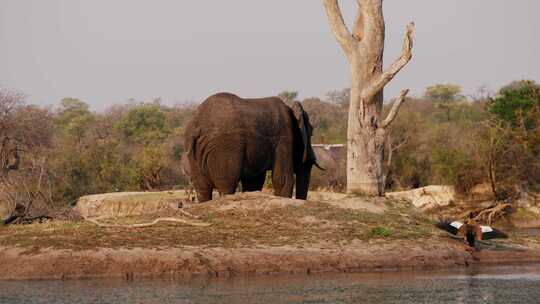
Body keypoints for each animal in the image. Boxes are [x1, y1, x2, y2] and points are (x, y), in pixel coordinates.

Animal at [184, 92, 322, 202]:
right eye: (311, 132)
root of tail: (197, 126)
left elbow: (253, 183)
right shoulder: (283, 138)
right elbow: (283, 180)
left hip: (192, 154)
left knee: (202, 188)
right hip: (224, 149)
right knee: (227, 185)